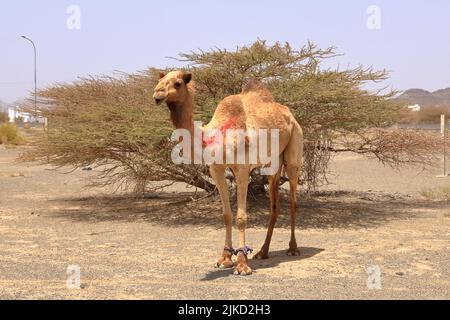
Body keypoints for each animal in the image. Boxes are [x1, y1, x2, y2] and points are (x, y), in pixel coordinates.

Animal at [153, 70, 304, 276]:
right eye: (159, 81)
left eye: (177, 83)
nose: (157, 94)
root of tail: (290, 116)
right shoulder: (216, 169)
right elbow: (226, 215)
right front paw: (225, 259)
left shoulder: (242, 169)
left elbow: (241, 218)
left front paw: (242, 264)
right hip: (273, 162)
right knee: (275, 204)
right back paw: (262, 252)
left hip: (294, 149)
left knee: (293, 202)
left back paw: (293, 248)